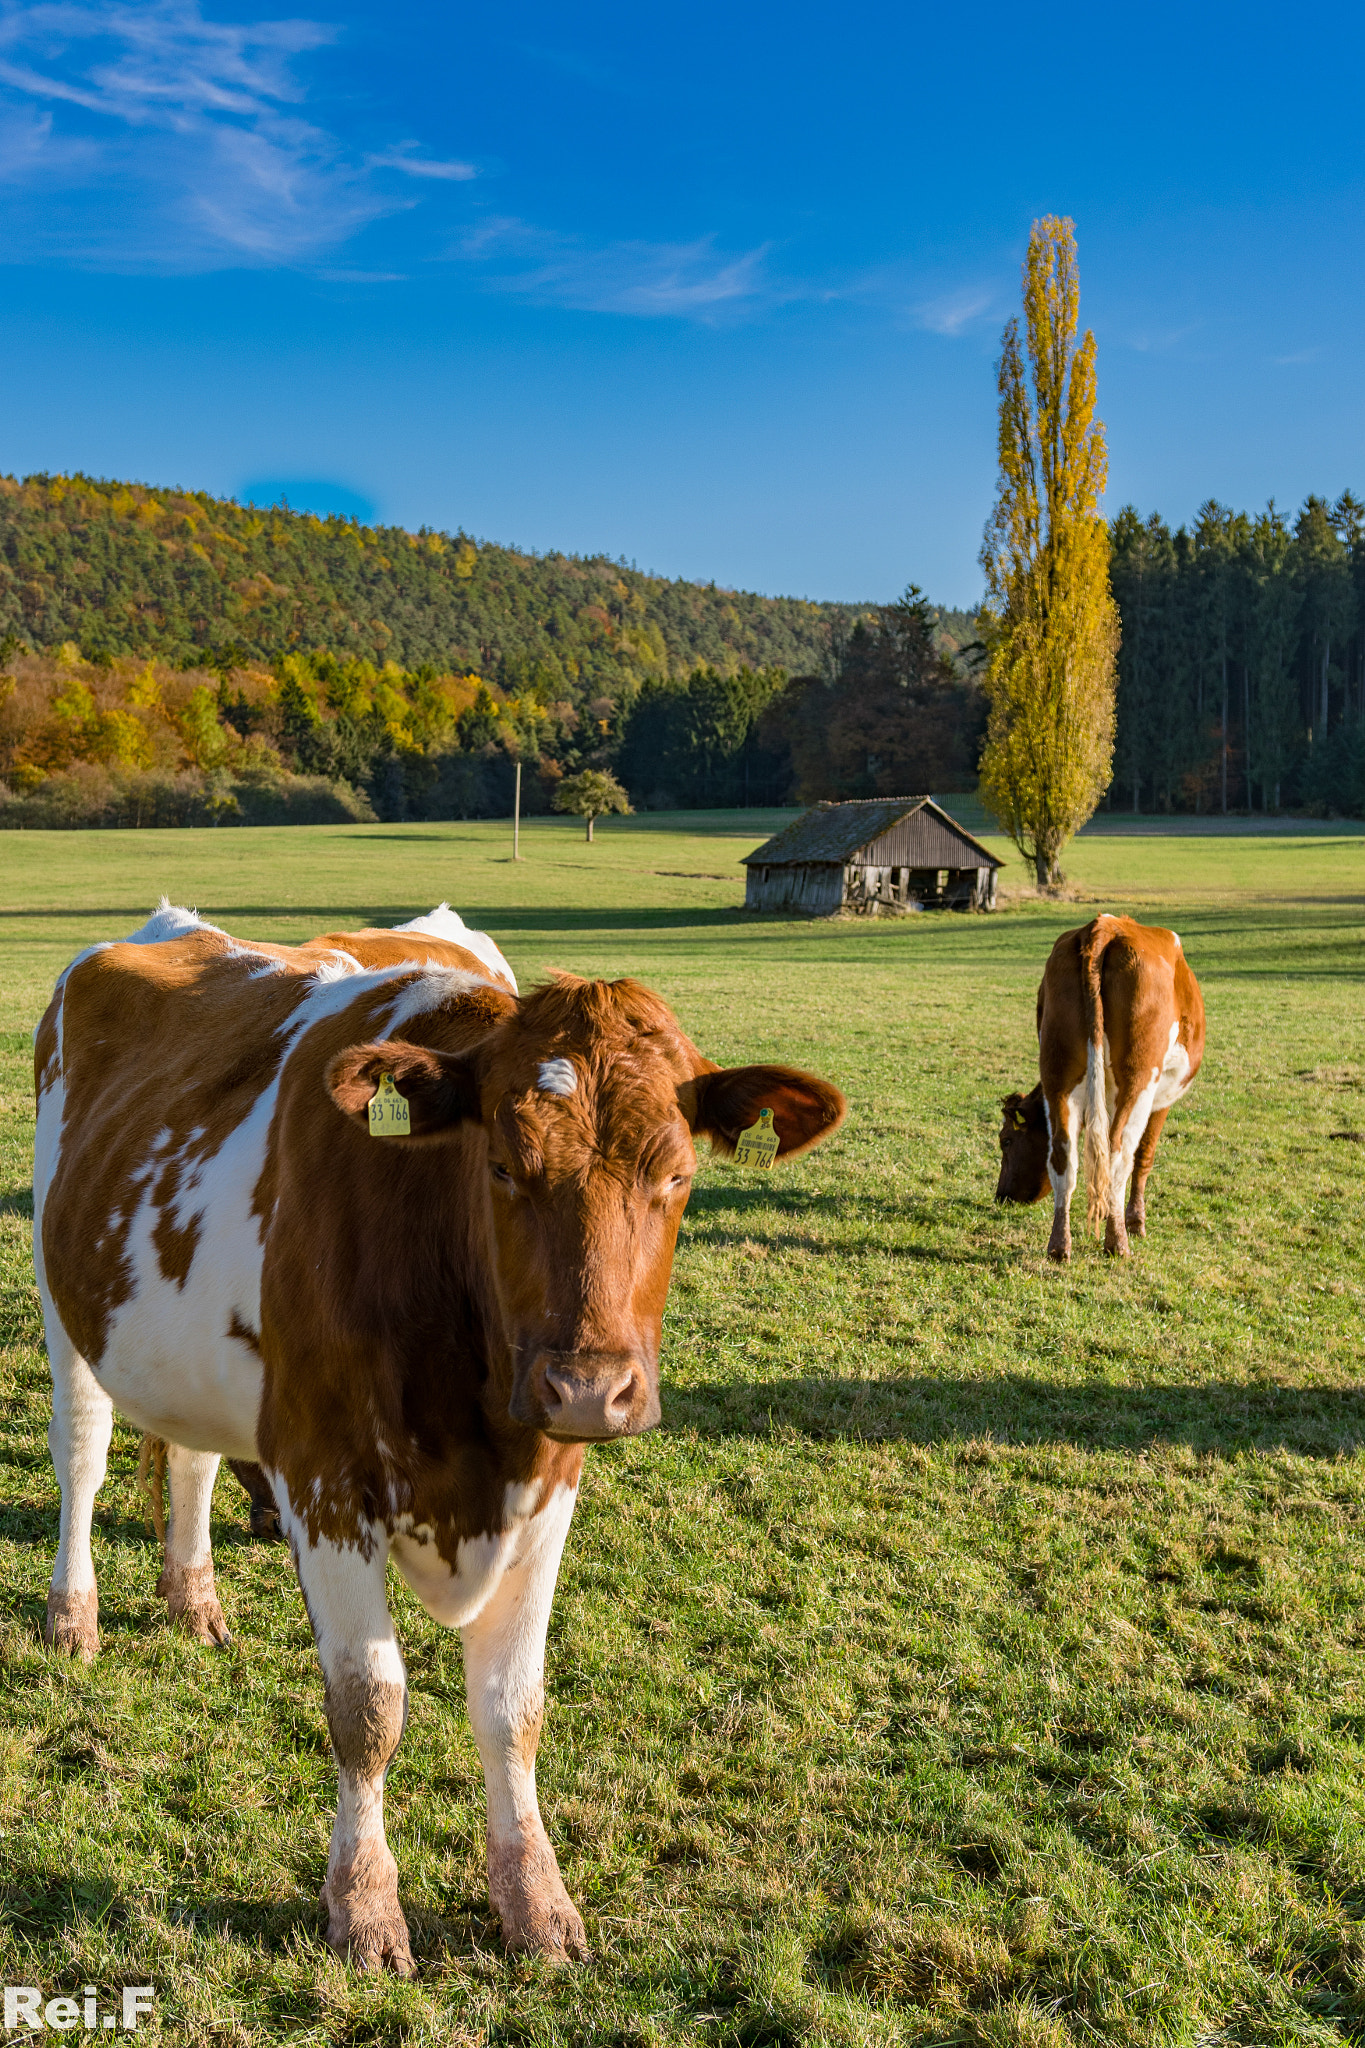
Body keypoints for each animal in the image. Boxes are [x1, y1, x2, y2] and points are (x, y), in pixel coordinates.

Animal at [31, 897, 843, 1966]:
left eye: (676, 1175)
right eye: (499, 1163)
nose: (590, 1389)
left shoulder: (548, 1484)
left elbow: (513, 1709)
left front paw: (536, 1901)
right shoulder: (324, 1472)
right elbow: (368, 1707)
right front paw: (365, 1906)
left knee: (195, 1460)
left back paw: (193, 1598)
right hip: (64, 1306)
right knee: (82, 1456)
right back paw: (72, 1615)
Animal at [994, 917, 1203, 1261]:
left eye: (1006, 1141)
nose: (1001, 1196)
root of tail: (1105, 926)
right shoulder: (1162, 1098)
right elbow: (1144, 1156)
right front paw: (1135, 1223)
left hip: (1059, 1072)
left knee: (1063, 1153)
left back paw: (1059, 1247)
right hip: (1138, 1078)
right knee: (1119, 1153)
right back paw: (1117, 1242)